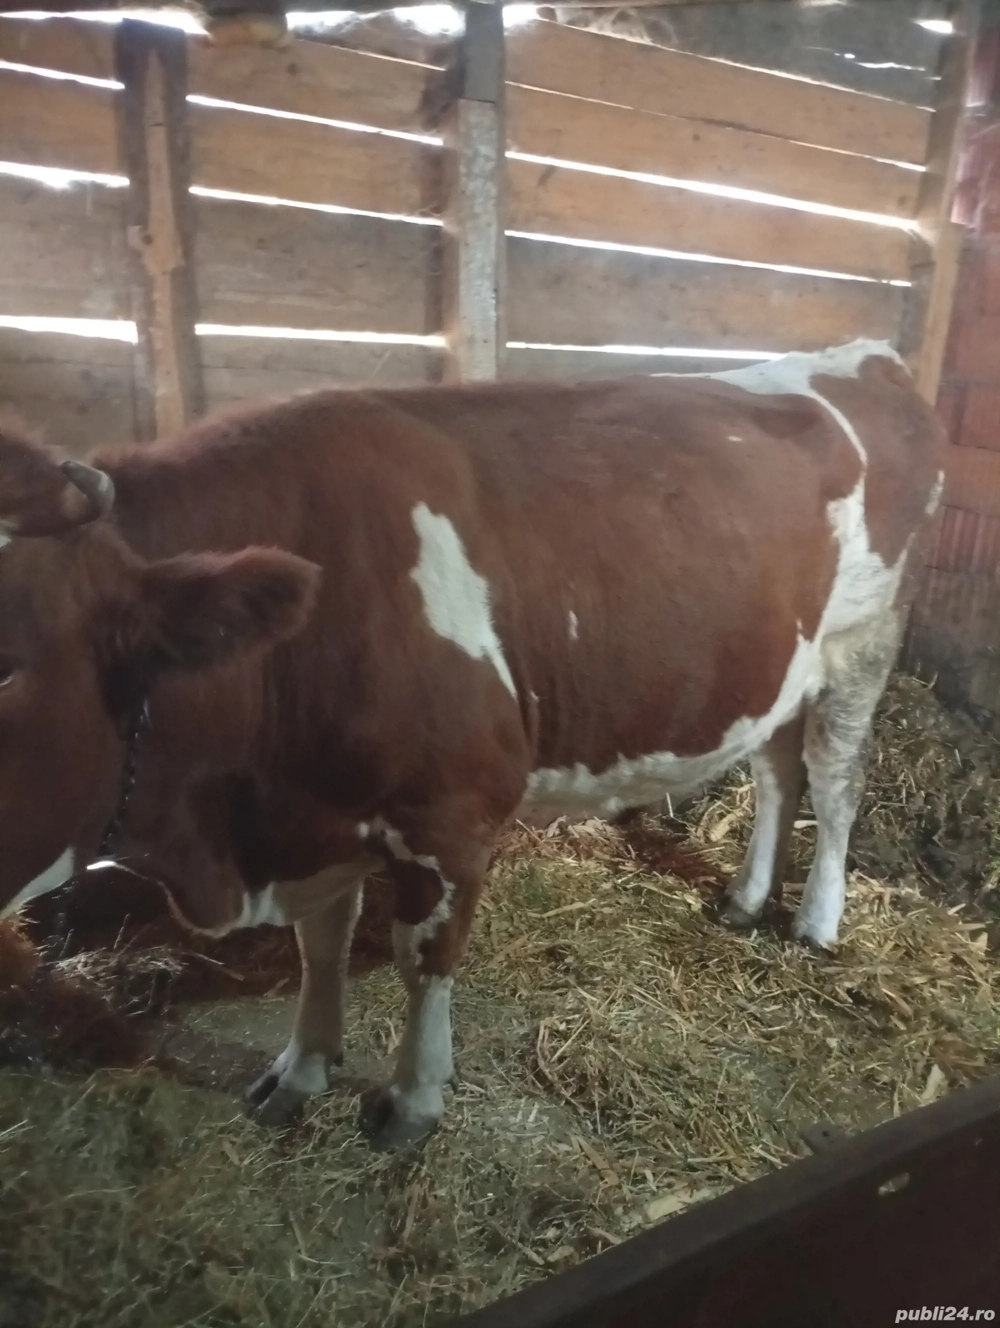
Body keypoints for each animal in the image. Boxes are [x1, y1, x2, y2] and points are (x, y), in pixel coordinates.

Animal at [0, 339, 944, 1145]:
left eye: (9, 666)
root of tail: (868, 357)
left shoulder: (450, 812)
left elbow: (425, 957)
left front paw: (412, 1100)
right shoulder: (316, 816)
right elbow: (320, 947)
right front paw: (303, 1067)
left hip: (863, 644)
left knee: (834, 780)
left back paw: (815, 922)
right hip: (785, 666)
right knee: (779, 773)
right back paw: (747, 899)